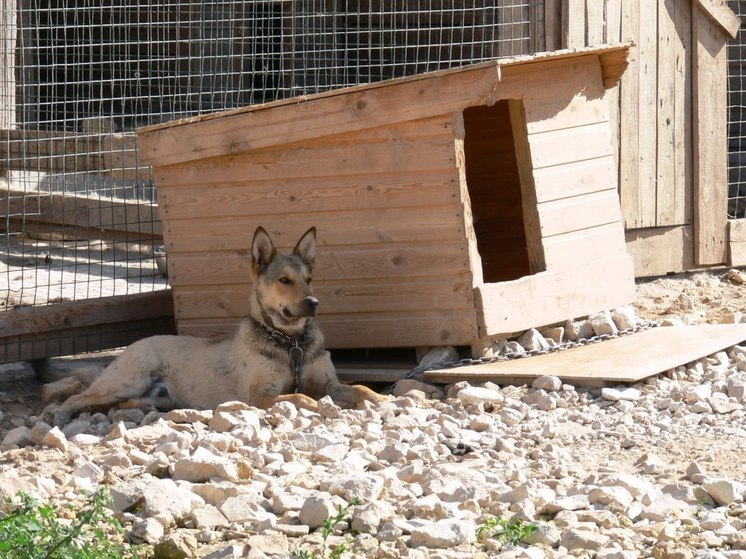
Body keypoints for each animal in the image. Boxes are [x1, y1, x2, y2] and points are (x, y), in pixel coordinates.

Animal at [43, 225, 386, 426]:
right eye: (284, 280)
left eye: (309, 278)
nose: (314, 303)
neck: (290, 342)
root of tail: (136, 344)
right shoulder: (259, 396)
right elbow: (300, 397)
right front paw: (320, 406)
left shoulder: (329, 383)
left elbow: (361, 388)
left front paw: (385, 400)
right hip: (128, 379)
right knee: (80, 397)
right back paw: (59, 412)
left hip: (156, 394)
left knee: (127, 403)